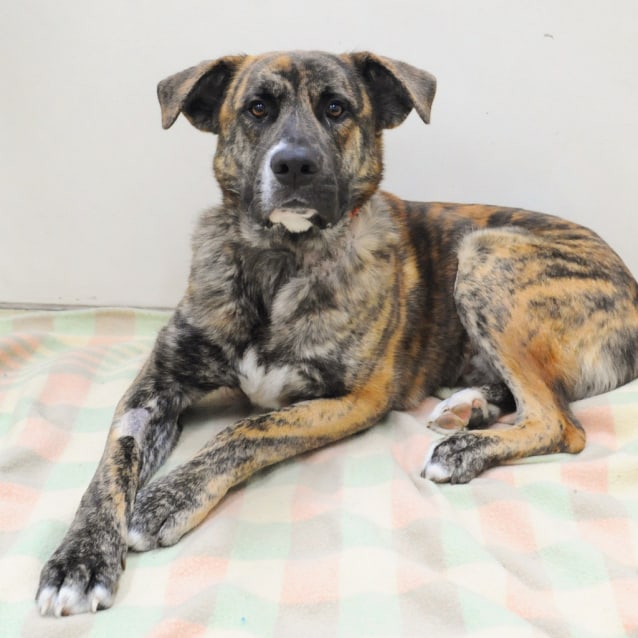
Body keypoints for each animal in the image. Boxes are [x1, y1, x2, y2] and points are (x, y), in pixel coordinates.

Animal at [36, 51, 638, 620]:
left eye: (336, 108)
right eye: (257, 108)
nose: (295, 165)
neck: (280, 260)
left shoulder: (354, 399)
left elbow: (248, 429)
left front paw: (168, 498)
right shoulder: (156, 387)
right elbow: (110, 465)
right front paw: (78, 560)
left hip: (485, 253)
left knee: (561, 423)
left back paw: (463, 447)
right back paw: (468, 407)